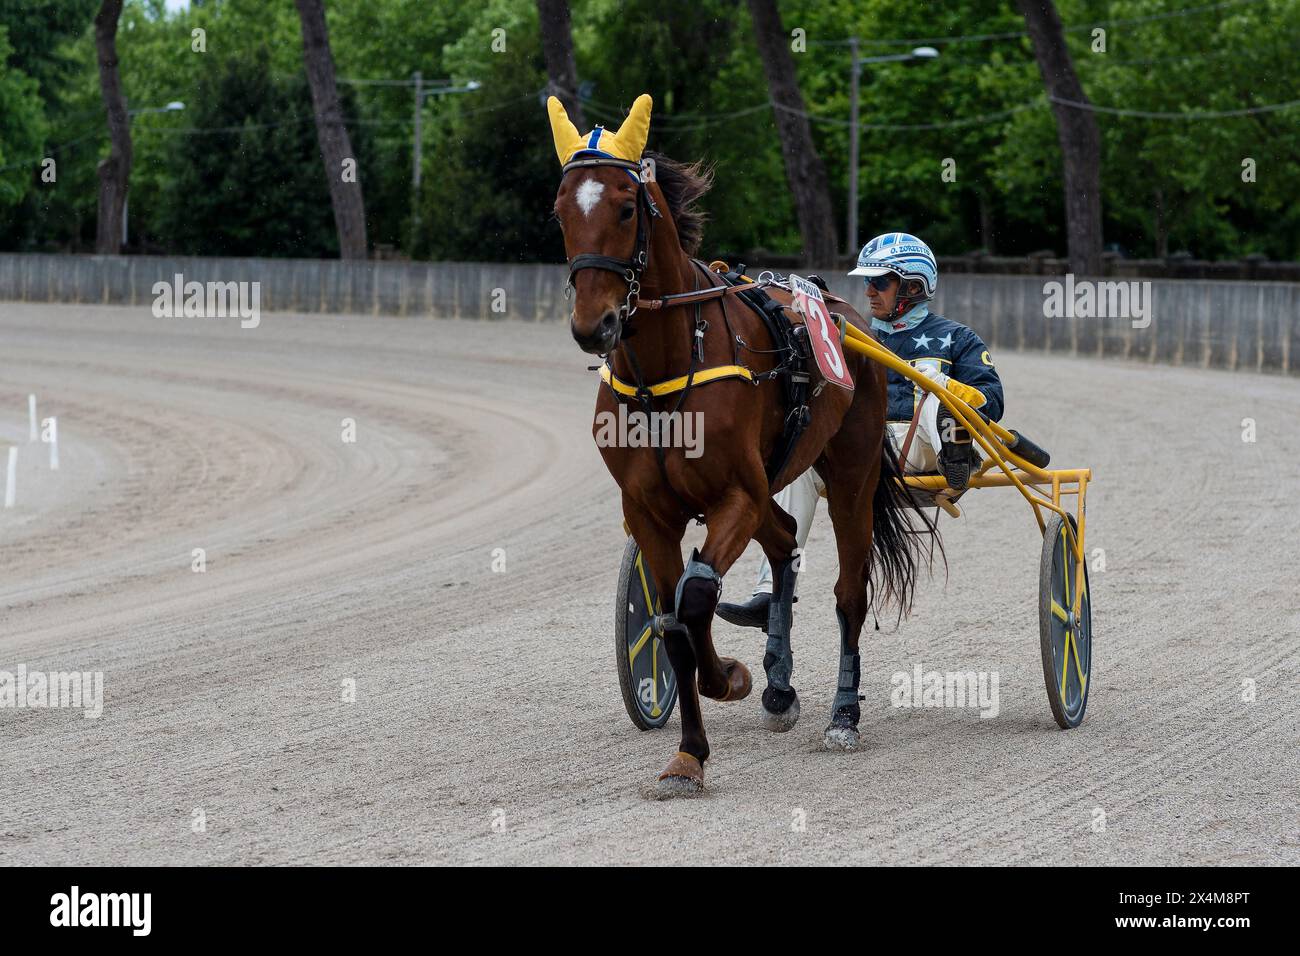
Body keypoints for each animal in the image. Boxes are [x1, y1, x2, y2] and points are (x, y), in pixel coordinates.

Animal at [548, 93, 935, 796]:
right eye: (560, 211)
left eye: (625, 207)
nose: (596, 326)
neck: (666, 373)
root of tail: (851, 319)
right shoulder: (648, 511)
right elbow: (669, 618)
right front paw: (688, 754)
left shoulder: (736, 494)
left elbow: (697, 594)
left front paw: (727, 675)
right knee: (782, 543)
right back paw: (779, 684)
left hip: (852, 471)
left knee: (849, 591)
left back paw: (842, 714)